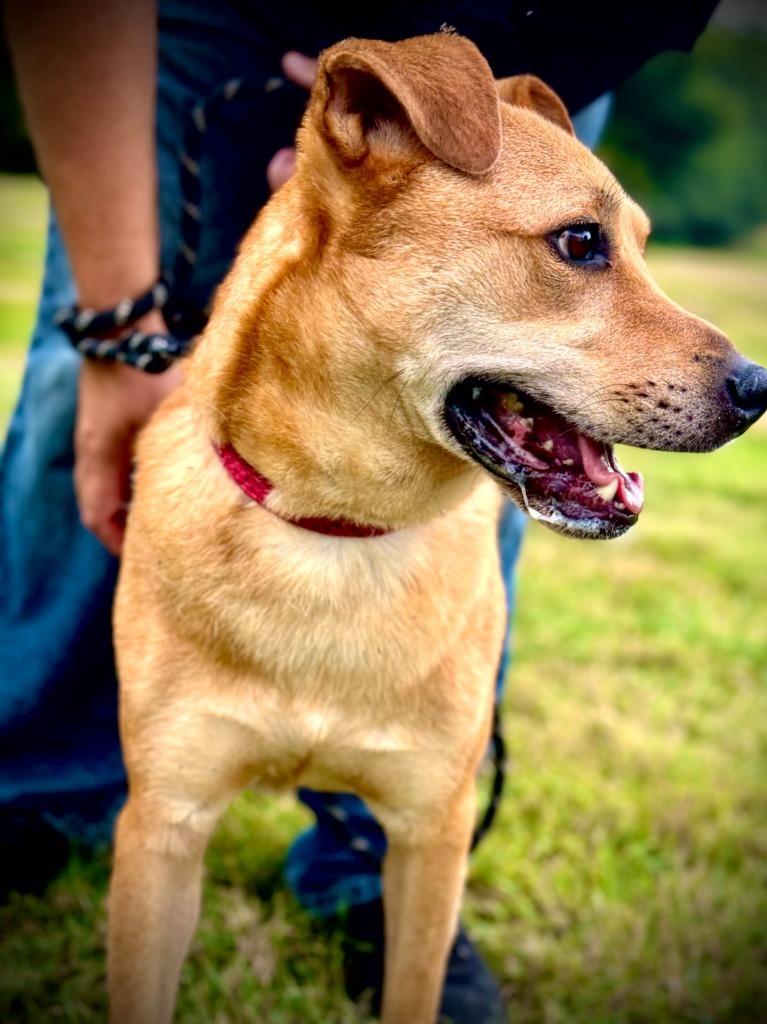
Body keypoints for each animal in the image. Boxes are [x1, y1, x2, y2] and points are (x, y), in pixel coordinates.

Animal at [107, 28, 765, 1024]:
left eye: (645, 247)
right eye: (580, 242)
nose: (759, 388)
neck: (338, 528)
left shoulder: (431, 832)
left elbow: (413, 987)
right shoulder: (162, 828)